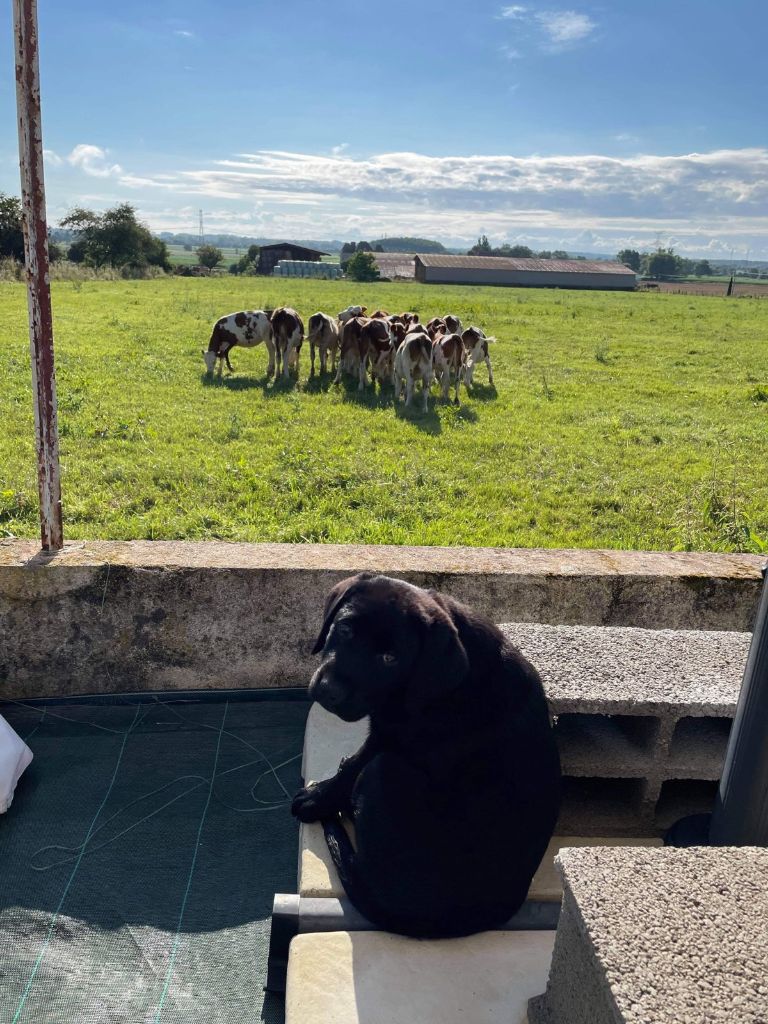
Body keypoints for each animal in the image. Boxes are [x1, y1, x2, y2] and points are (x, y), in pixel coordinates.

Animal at [290, 573, 561, 937]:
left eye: (389, 658)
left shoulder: (388, 736)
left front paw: (317, 797)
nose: (329, 691)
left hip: (383, 773)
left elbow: (352, 769)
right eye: (344, 629)